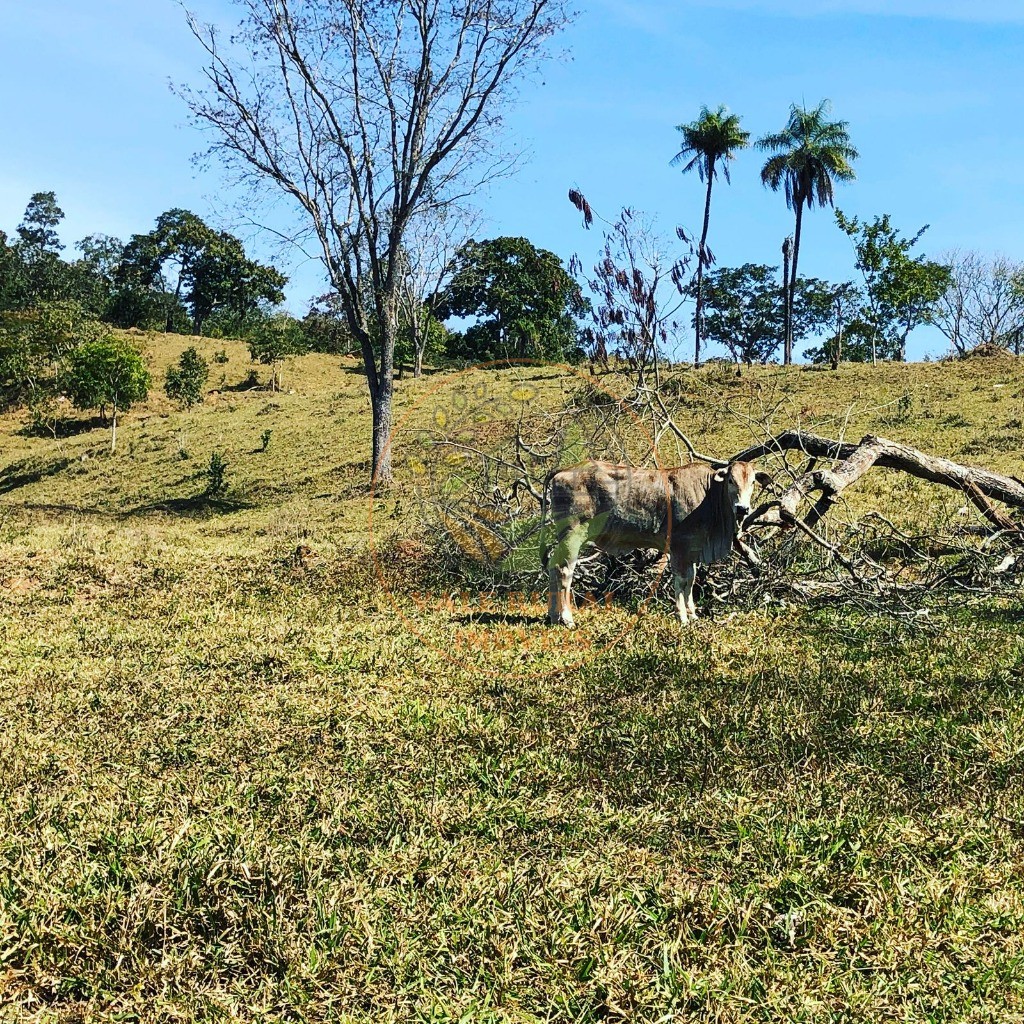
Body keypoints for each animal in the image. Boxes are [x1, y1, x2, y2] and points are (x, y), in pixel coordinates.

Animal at [544, 462, 770, 622]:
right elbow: (681, 581)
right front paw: (682, 616)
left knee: (553, 567)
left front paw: (693, 614)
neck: (709, 494)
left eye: (752, 482)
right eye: (731, 480)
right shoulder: (679, 547)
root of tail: (564, 470)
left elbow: (691, 580)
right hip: (573, 535)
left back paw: (554, 617)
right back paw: (566, 618)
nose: (742, 508)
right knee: (564, 571)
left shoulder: (693, 550)